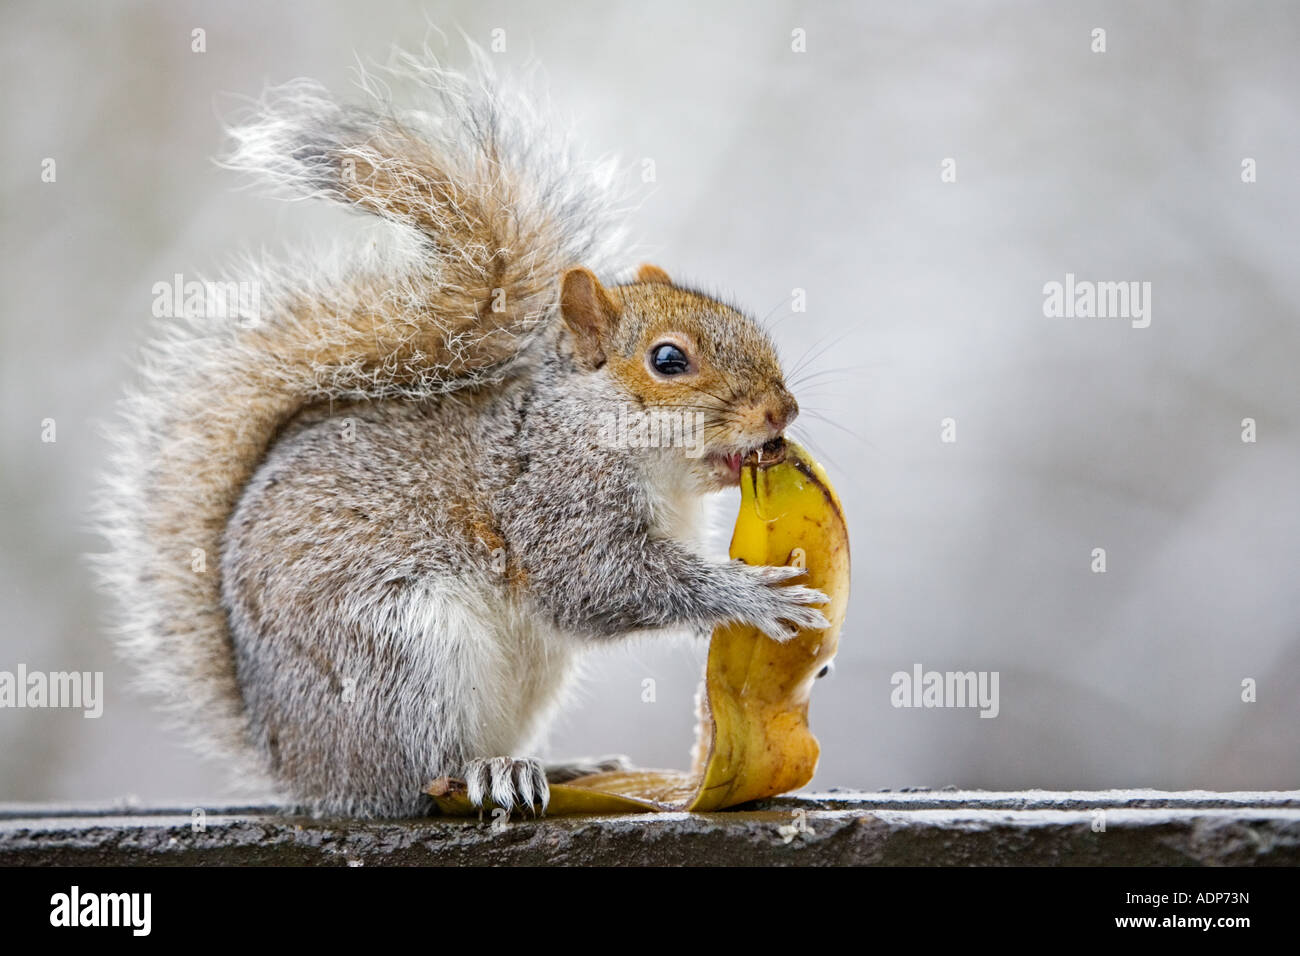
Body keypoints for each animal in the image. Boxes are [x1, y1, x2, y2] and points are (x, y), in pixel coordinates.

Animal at [95, 51, 829, 818]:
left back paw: (557, 766)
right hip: (399, 655)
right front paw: (752, 595)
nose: (782, 412)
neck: (607, 437)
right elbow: (598, 582)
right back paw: (490, 772)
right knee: (417, 778)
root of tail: (299, 765)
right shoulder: (552, 503)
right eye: (668, 360)